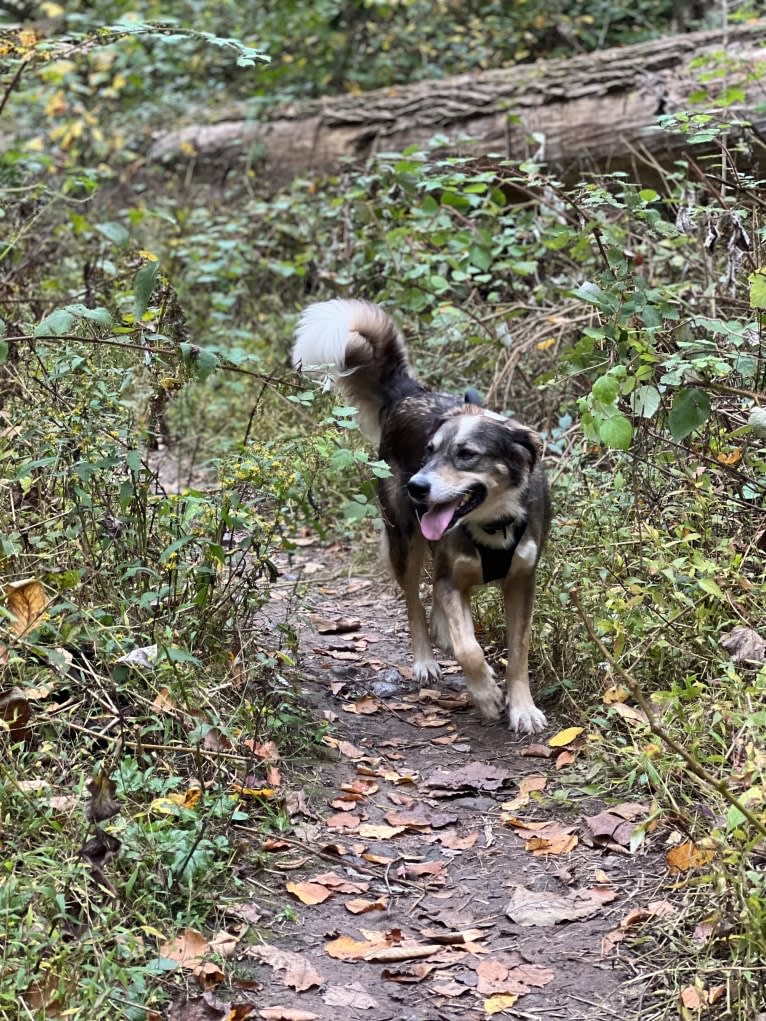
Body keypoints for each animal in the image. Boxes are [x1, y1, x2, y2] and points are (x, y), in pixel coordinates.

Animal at [294, 298, 551, 731]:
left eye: (466, 454)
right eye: (428, 451)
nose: (417, 486)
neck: (492, 522)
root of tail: (410, 393)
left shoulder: (522, 581)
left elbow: (518, 651)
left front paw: (523, 708)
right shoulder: (450, 572)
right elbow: (470, 649)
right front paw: (486, 694)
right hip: (403, 539)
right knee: (414, 598)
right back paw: (426, 659)